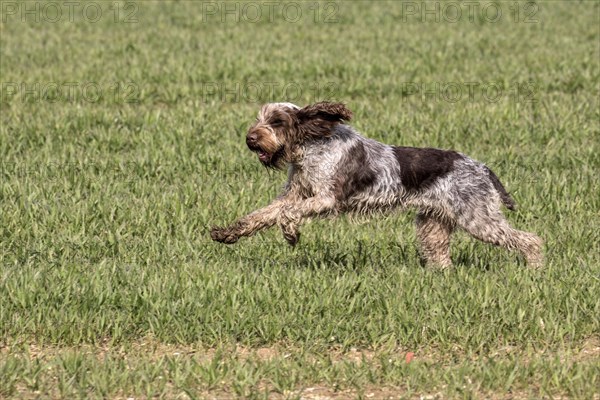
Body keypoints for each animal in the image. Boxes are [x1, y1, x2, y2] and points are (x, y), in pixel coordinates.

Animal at [211, 101, 544, 268]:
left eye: (277, 121)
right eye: (260, 119)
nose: (250, 138)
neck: (312, 146)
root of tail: (481, 167)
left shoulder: (326, 198)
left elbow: (287, 214)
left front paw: (291, 233)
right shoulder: (293, 194)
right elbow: (261, 215)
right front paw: (227, 233)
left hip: (478, 218)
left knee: (530, 239)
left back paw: (535, 268)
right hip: (433, 224)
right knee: (442, 257)